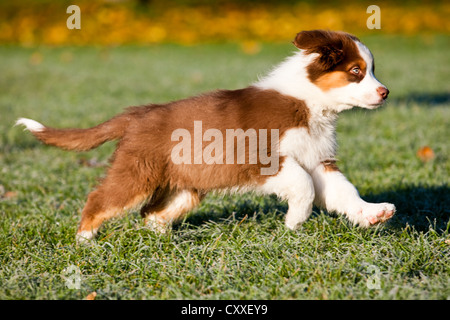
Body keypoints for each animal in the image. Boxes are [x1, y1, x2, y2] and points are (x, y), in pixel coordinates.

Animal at [17, 31, 396, 244]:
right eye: (356, 71)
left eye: (371, 71)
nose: (386, 93)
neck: (310, 103)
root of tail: (137, 113)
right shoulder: (263, 159)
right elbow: (302, 185)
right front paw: (294, 221)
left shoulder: (319, 160)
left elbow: (344, 191)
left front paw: (372, 214)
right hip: (136, 174)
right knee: (100, 199)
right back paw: (84, 240)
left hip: (184, 187)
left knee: (150, 213)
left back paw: (165, 241)